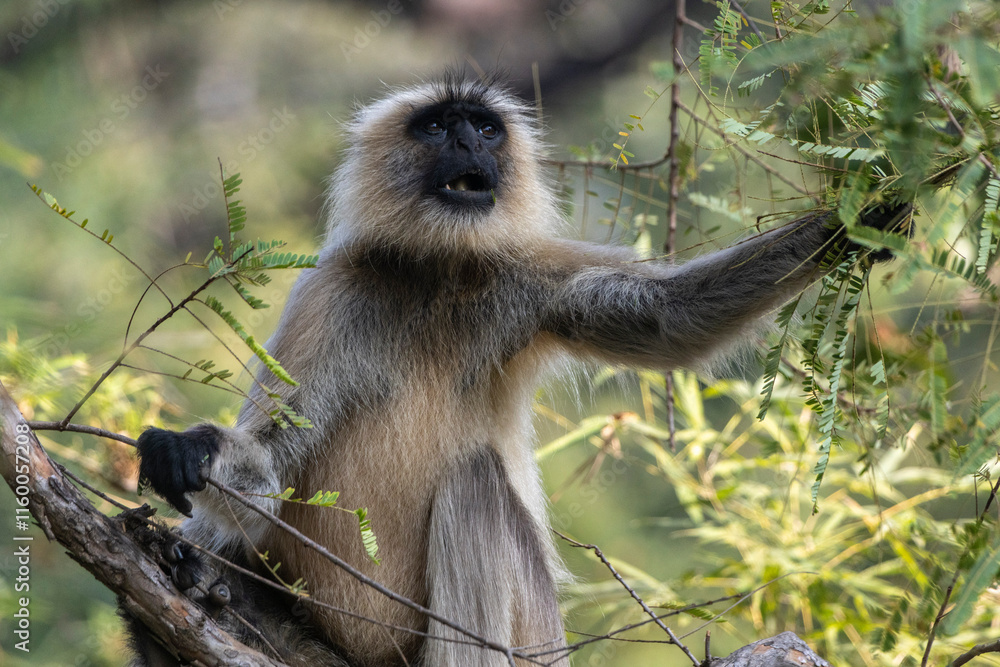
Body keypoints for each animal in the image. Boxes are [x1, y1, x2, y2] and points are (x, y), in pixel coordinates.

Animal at [129, 72, 911, 667]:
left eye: (483, 126)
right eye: (437, 127)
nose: (468, 141)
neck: (437, 274)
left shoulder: (523, 278)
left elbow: (668, 318)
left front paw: (862, 215)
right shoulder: (332, 292)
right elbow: (268, 469)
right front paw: (189, 451)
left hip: (536, 644)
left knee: (476, 483)